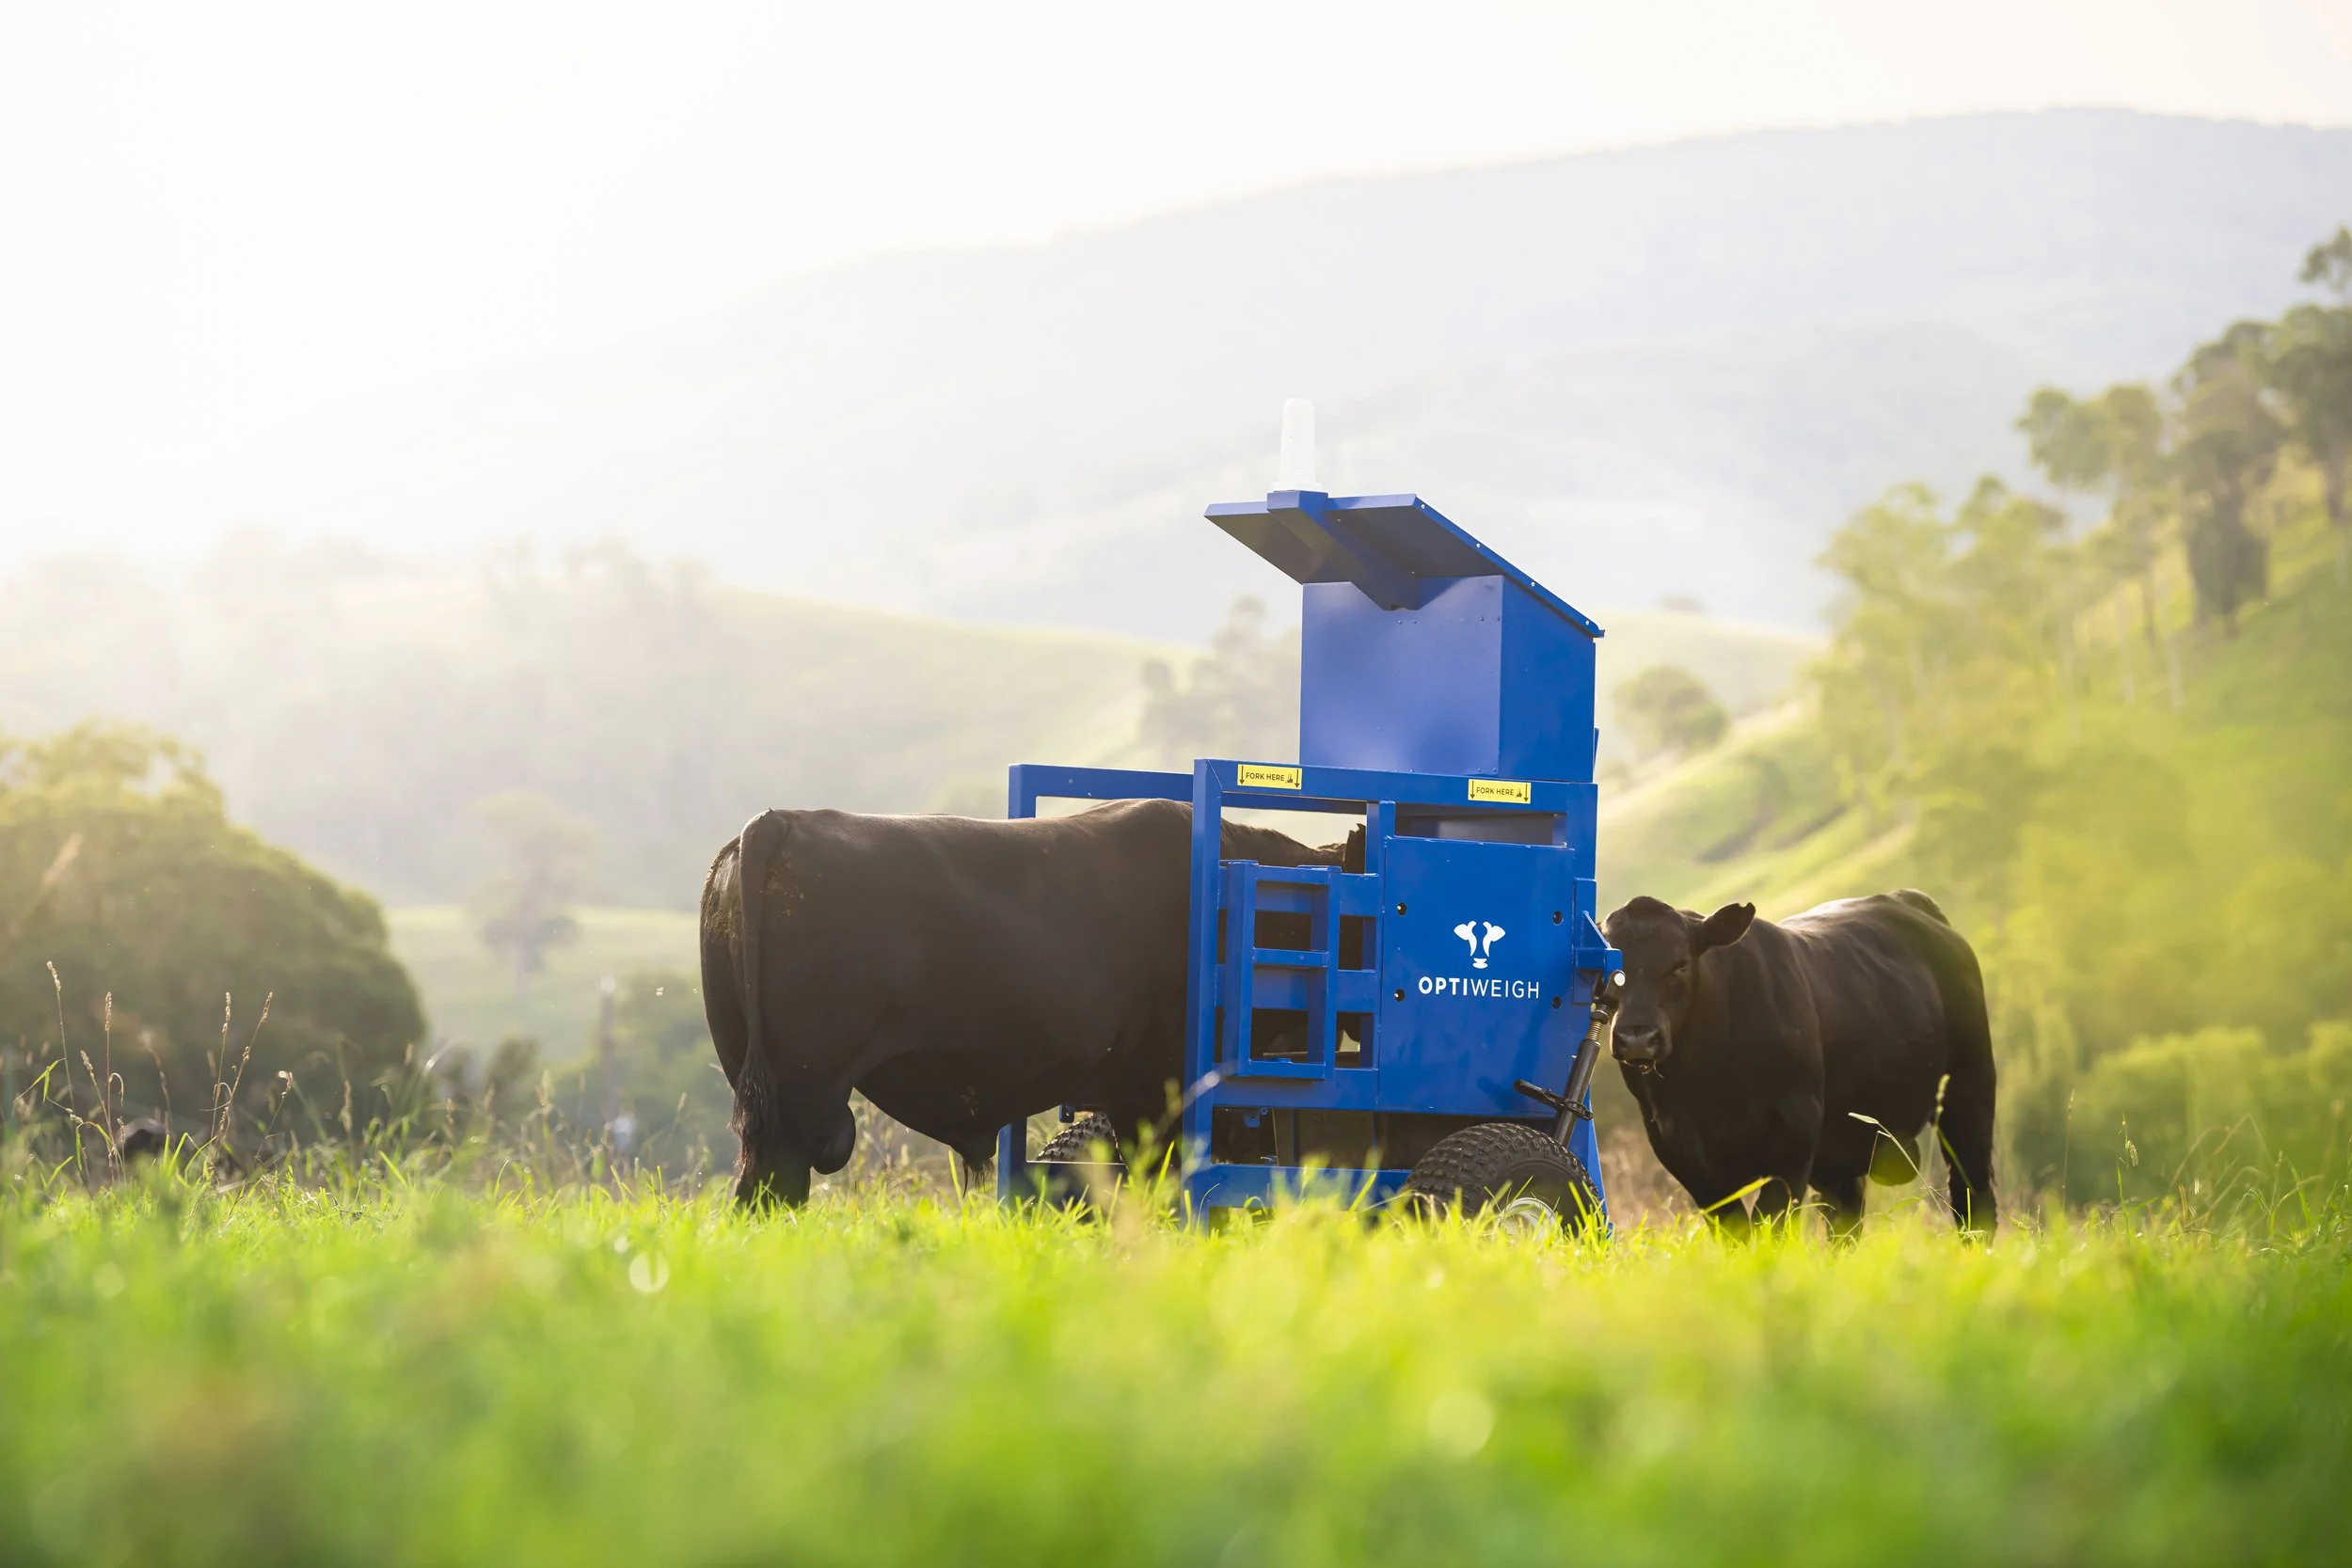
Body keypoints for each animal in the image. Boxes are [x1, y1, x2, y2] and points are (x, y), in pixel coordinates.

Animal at [1602, 889, 1996, 1237]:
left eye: (1680, 966)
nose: (1637, 1037)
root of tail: (1909, 901)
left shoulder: (1792, 1144)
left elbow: (1770, 1226)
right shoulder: (1685, 1160)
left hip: (1970, 1090)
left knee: (1973, 1197)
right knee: (1845, 1222)